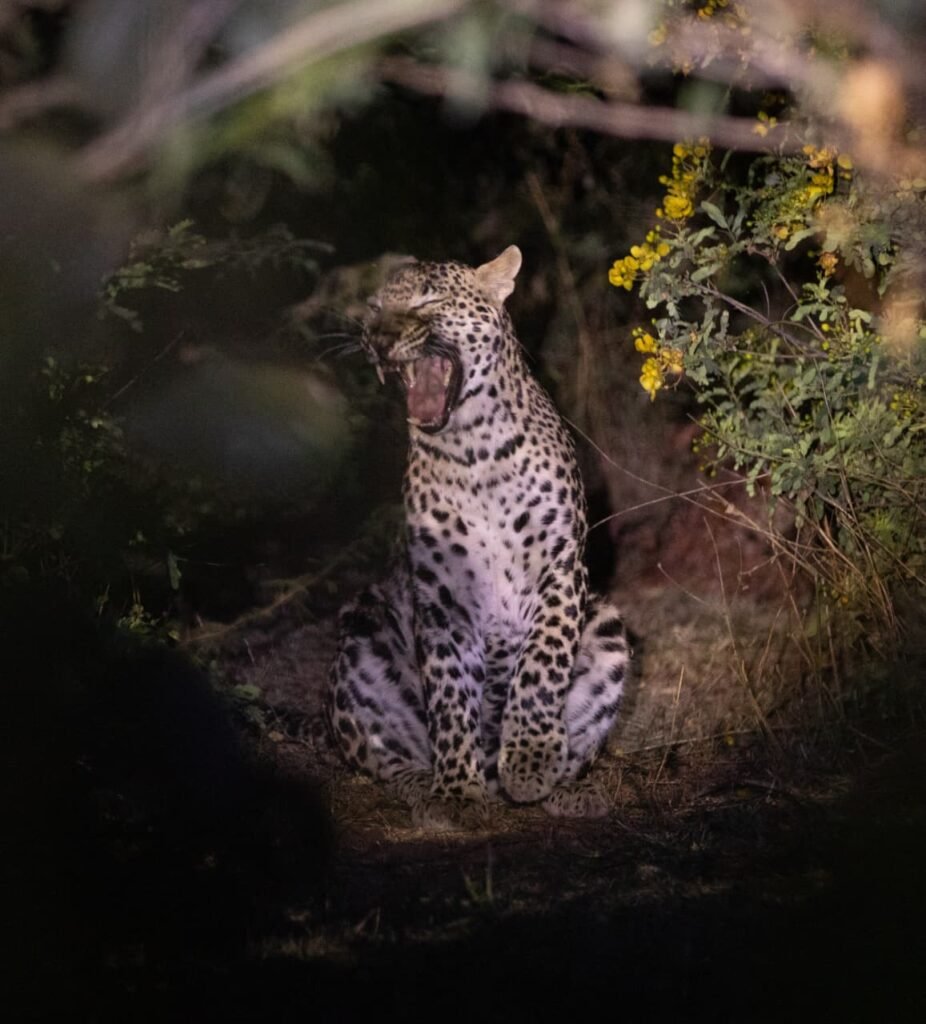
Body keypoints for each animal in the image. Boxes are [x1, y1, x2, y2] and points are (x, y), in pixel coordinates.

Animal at [326, 245, 629, 828]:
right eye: (374, 307)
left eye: (429, 300)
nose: (376, 336)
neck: (473, 451)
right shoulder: (441, 597)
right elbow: (449, 693)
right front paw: (455, 793)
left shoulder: (560, 571)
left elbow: (541, 664)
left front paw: (531, 760)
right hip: (361, 626)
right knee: (381, 755)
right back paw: (426, 792)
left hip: (607, 625)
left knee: (575, 746)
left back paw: (563, 789)